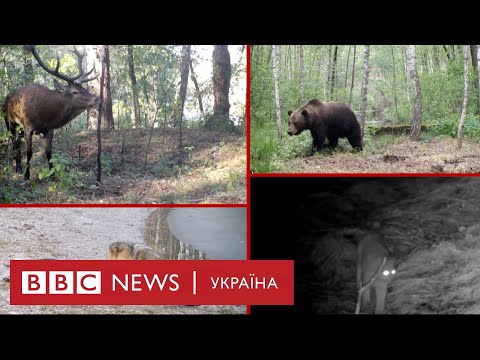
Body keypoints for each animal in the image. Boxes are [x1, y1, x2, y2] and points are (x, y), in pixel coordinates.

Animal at [1, 45, 99, 180]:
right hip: (9, 120)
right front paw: (27, 175)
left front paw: (52, 175)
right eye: (74, 92)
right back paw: (19, 169)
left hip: (19, 127)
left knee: (17, 142)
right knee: (14, 142)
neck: (44, 114)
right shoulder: (28, 127)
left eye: (84, 88)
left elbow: (49, 153)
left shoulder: (49, 130)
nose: (97, 99)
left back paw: (18, 167)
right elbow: (30, 153)